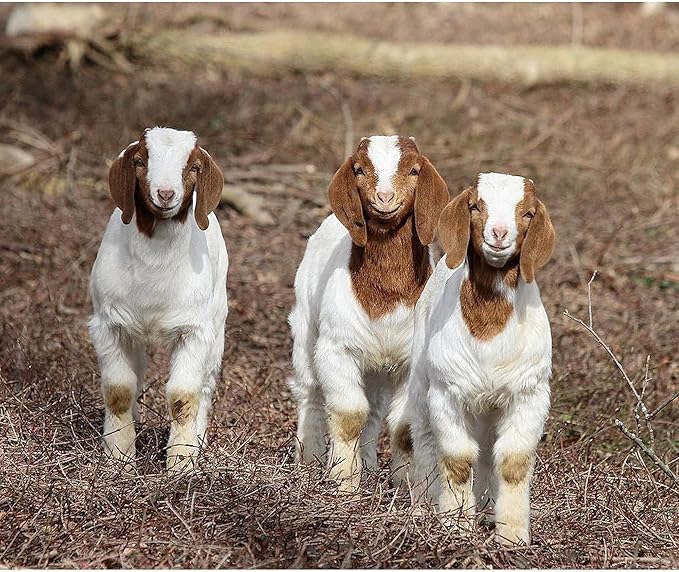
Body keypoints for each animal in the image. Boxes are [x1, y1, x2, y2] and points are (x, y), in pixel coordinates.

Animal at [89, 127, 228, 474]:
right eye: (140, 161)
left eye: (194, 167)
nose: (165, 194)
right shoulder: (109, 324)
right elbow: (119, 390)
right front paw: (119, 455)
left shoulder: (195, 330)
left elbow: (183, 396)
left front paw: (181, 463)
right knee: (136, 373)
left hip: (217, 325)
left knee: (206, 384)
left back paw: (199, 439)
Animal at [288, 135, 449, 492]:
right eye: (360, 169)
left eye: (414, 170)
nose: (385, 198)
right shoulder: (337, 348)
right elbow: (349, 414)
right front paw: (343, 480)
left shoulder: (409, 361)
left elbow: (402, 425)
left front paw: (404, 483)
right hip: (306, 325)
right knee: (310, 392)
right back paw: (309, 461)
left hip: (376, 367)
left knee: (374, 410)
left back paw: (371, 467)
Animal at [403, 173, 555, 544]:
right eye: (475, 205)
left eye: (528, 213)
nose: (498, 233)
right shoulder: (447, 392)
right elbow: (457, 459)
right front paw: (455, 526)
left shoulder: (529, 393)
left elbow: (514, 461)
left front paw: (513, 536)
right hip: (421, 384)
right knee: (425, 440)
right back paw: (422, 510)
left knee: (487, 450)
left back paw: (487, 510)